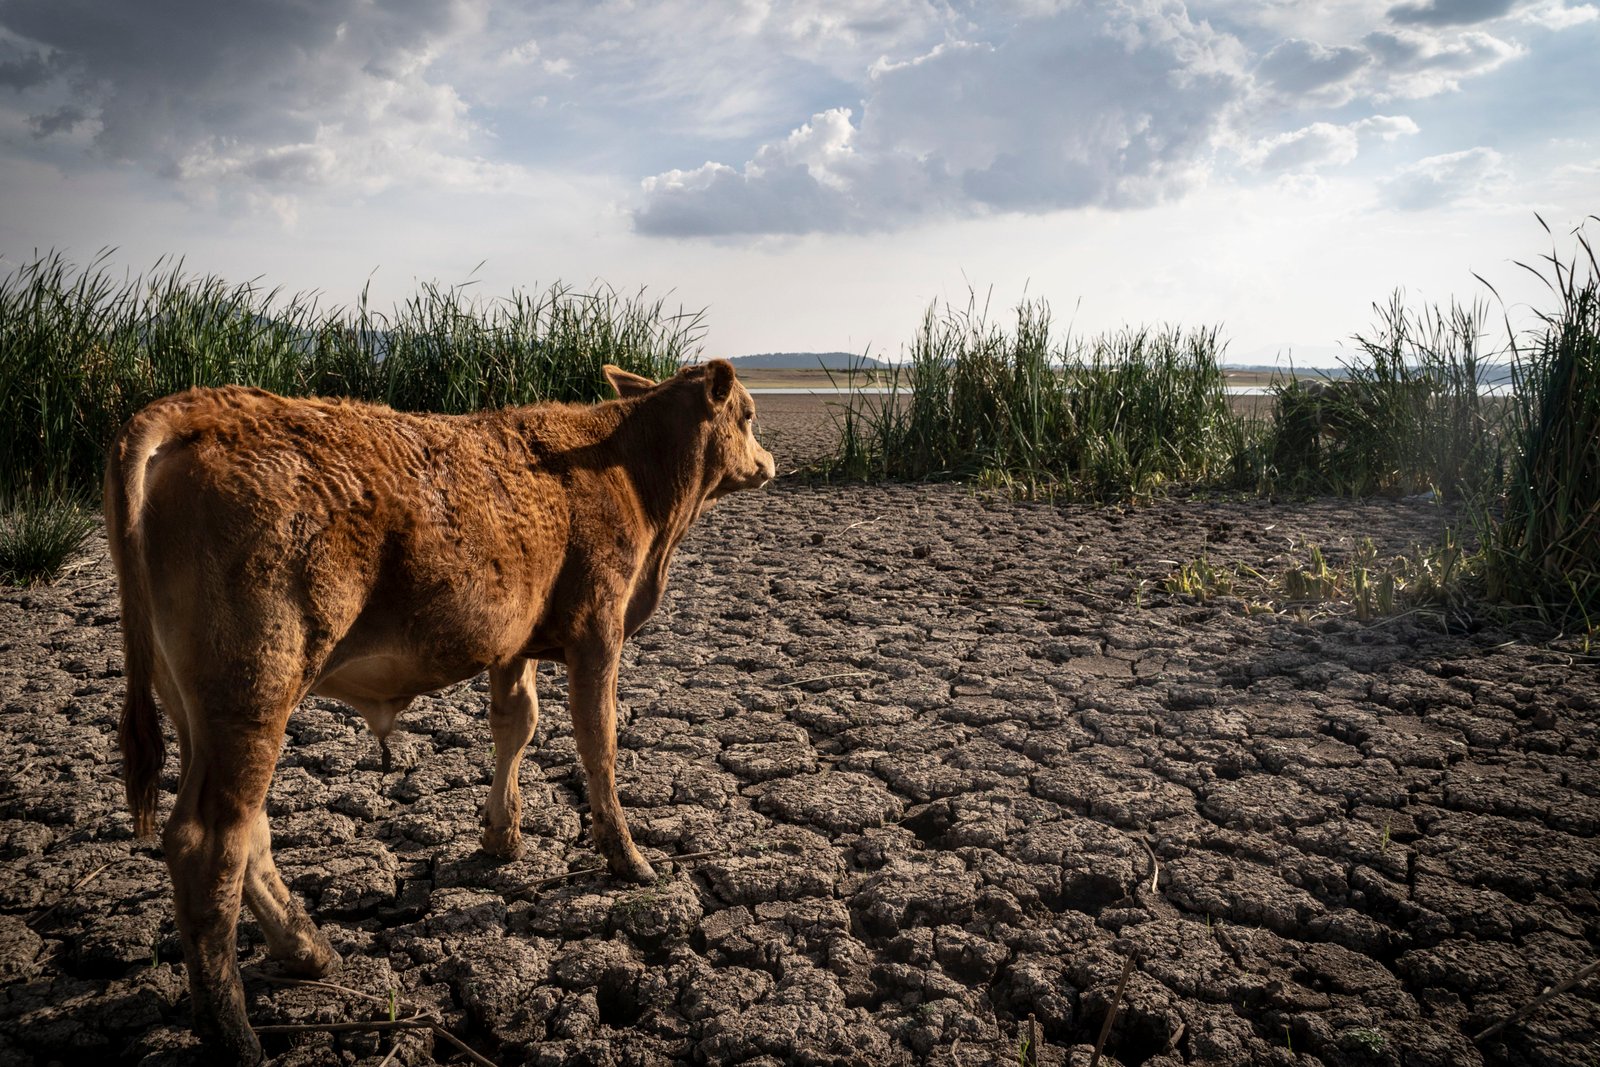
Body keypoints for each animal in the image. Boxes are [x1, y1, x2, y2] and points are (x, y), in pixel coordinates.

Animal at [104, 363, 774, 1062]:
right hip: (253, 689)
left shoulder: (515, 640)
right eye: (750, 415)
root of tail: (197, 407)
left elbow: (516, 724)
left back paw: (308, 950)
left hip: (200, 711)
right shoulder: (598, 629)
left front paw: (502, 835)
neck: (626, 467)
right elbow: (598, 743)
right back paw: (235, 1034)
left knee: (246, 832)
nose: (769, 463)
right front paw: (627, 856)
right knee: (210, 845)